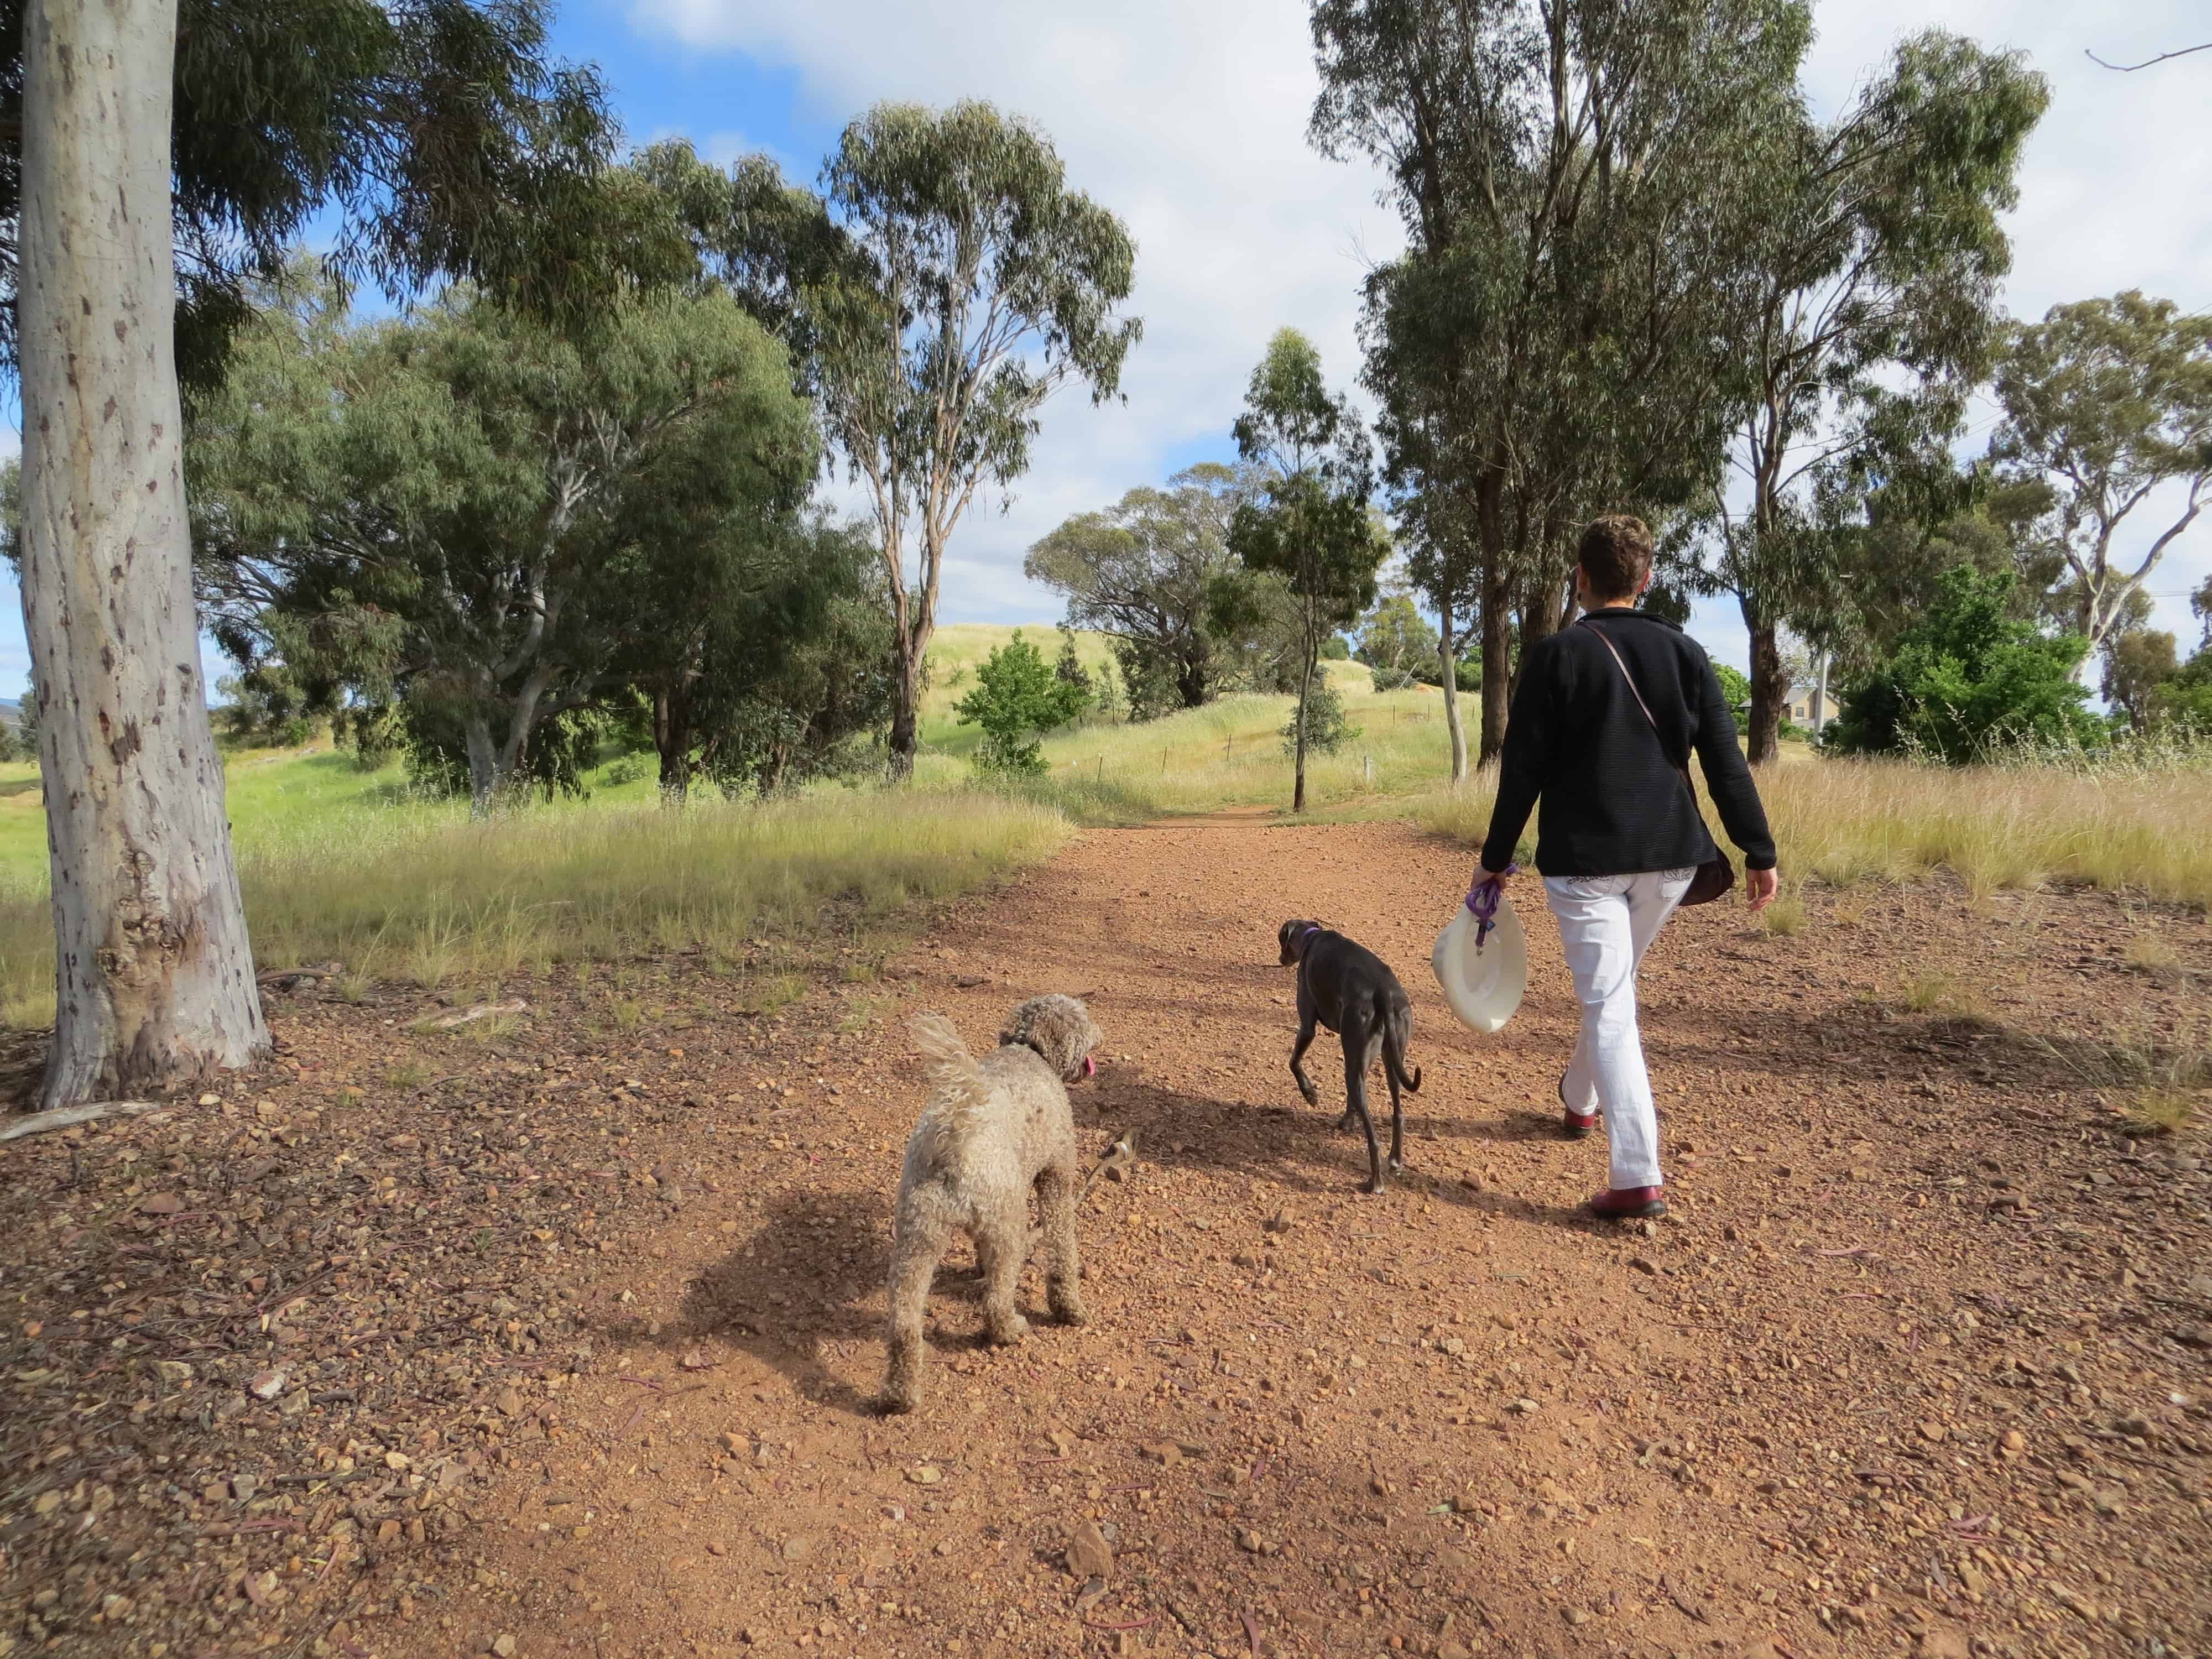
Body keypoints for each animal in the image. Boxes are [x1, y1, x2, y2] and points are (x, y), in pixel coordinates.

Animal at [872, 1000, 1097, 1416]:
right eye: (1082, 1017)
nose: (1098, 1037)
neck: (1031, 1051)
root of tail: (957, 1130)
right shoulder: (1057, 1177)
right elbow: (1062, 1252)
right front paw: (1069, 1310)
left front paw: (978, 1266)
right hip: (1009, 1222)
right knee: (996, 1298)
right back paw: (1009, 1331)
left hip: (916, 1235)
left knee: (904, 1326)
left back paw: (900, 1395)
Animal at [1274, 925, 1425, 1194]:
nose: (1281, 960)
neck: (1312, 936)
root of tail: (1382, 992)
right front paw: (1346, 1122)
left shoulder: (1307, 1027)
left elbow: (1294, 1062)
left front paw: (1310, 1094)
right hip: (1389, 1063)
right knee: (1398, 1113)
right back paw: (1395, 1160)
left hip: (1357, 1063)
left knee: (1373, 1139)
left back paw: (1375, 1183)